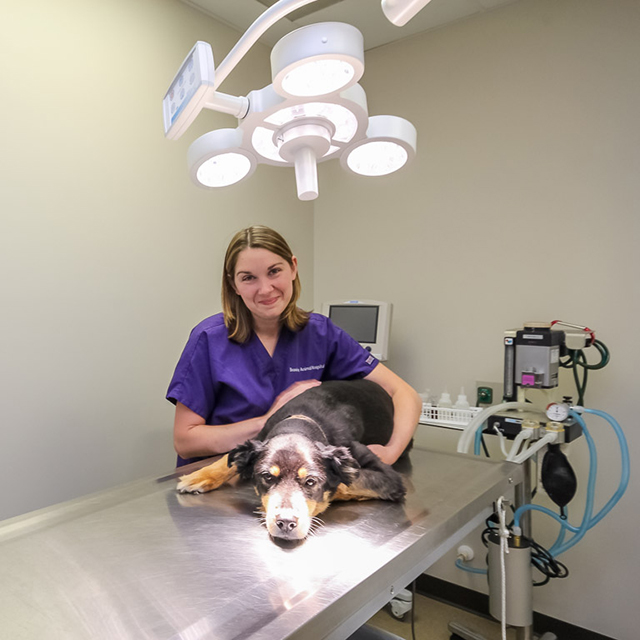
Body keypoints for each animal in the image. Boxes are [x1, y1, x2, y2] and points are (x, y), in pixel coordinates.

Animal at [176, 380, 404, 540]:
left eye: (311, 482)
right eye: (267, 477)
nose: (285, 523)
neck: (302, 420)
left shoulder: (388, 476)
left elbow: (341, 486)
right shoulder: (258, 438)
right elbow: (226, 460)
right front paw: (199, 477)